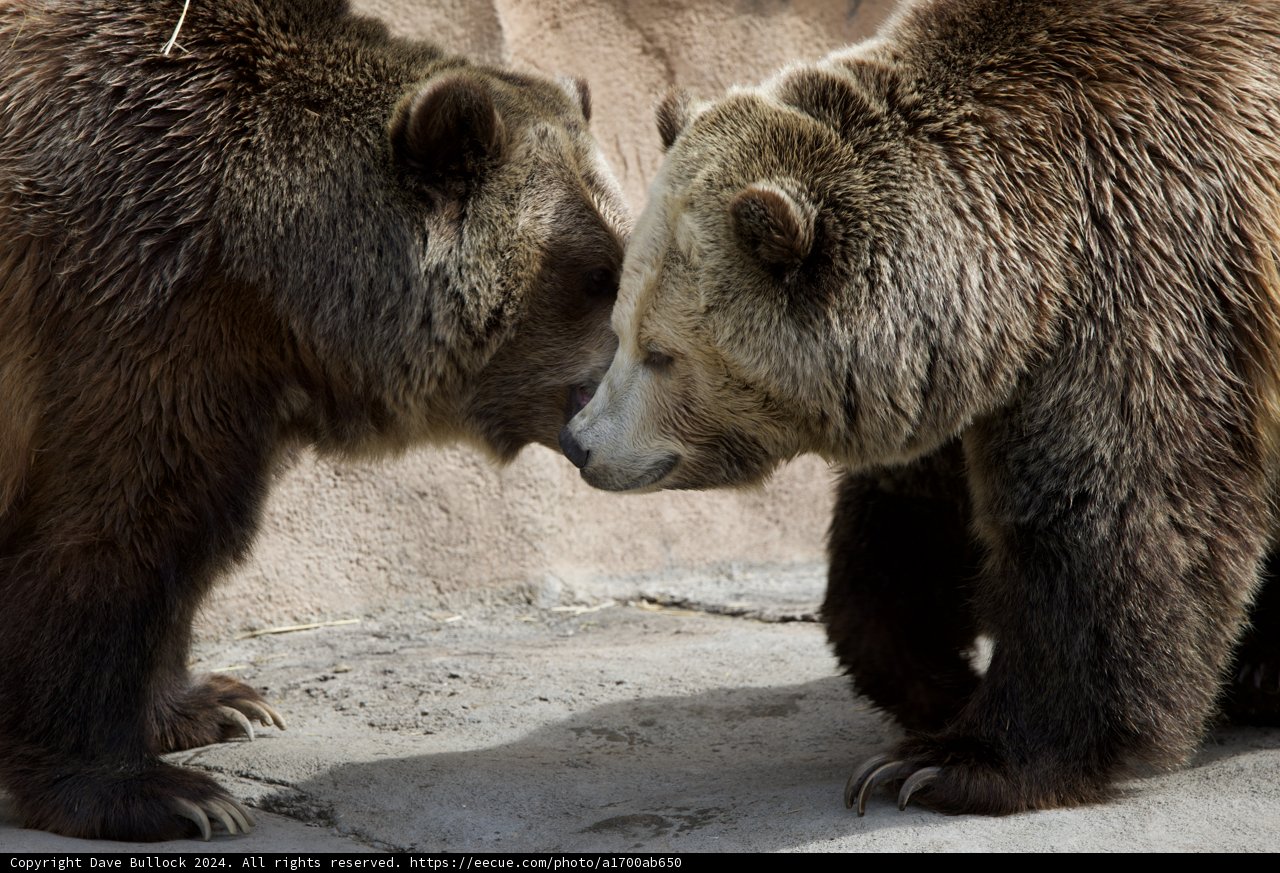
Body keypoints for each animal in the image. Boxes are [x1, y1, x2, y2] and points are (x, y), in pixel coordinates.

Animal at [0, 0, 626, 841]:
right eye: (600, 272)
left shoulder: (233, 382)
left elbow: (186, 538)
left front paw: (219, 703)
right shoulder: (125, 296)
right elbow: (107, 531)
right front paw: (158, 793)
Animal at [561, 0, 1280, 815]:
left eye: (661, 352)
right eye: (619, 324)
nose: (581, 440)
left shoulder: (1148, 268)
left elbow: (1114, 513)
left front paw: (954, 762)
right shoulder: (965, 370)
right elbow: (910, 522)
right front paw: (937, 687)